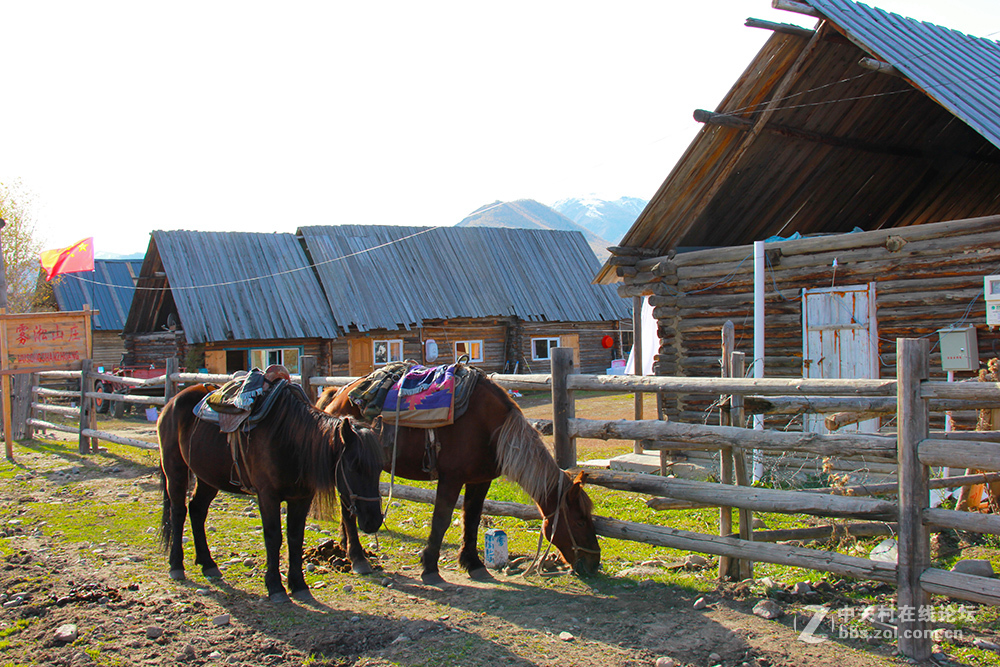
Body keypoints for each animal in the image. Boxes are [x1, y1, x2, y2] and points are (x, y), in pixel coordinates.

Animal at [158, 380, 384, 604]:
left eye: (379, 469)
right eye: (354, 466)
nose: (373, 522)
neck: (291, 441)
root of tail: (172, 402)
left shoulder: (302, 498)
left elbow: (295, 537)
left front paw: (299, 585)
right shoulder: (267, 496)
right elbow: (273, 537)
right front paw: (275, 586)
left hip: (208, 477)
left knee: (197, 510)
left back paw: (208, 563)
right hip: (175, 470)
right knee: (178, 512)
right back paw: (176, 565)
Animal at [320, 370, 596, 584]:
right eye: (580, 521)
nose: (594, 561)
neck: (490, 427)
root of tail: (339, 395)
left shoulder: (480, 480)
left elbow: (472, 519)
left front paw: (473, 563)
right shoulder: (451, 480)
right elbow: (441, 521)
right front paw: (430, 567)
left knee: (348, 508)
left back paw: (346, 546)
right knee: (347, 509)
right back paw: (358, 558)